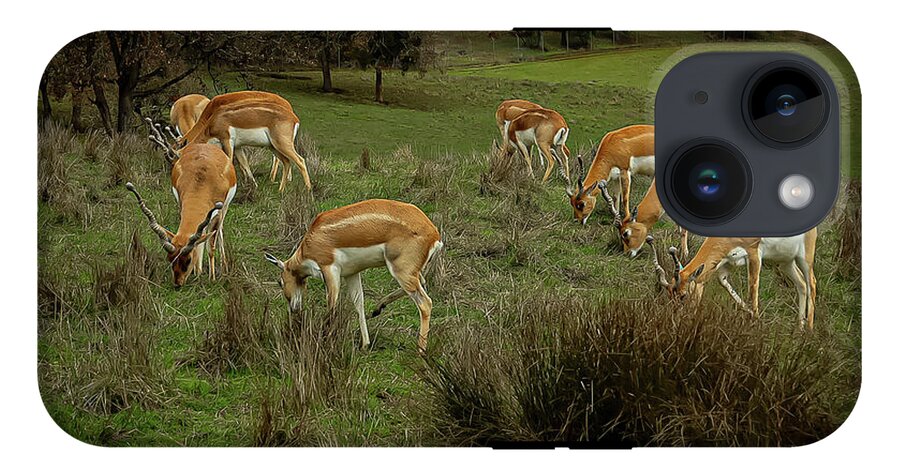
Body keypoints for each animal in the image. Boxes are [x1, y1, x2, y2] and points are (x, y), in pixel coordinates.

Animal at [125, 142, 237, 287]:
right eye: (170, 259)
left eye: (188, 260)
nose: (178, 284)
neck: (202, 181)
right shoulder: (181, 204)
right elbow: (198, 241)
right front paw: (197, 273)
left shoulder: (218, 212)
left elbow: (211, 246)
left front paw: (212, 279)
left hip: (224, 209)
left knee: (218, 232)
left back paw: (224, 266)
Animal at [150, 90, 311, 193]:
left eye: (175, 161)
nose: (174, 177)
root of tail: (294, 116)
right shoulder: (238, 146)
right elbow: (245, 164)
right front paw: (253, 185)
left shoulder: (227, 140)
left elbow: (229, 162)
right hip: (273, 145)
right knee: (286, 161)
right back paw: (281, 188)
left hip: (281, 144)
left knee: (299, 160)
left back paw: (307, 190)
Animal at [263, 199, 443, 352]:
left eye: (280, 282)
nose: (293, 309)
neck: (311, 241)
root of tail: (434, 234)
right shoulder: (352, 273)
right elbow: (358, 303)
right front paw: (365, 344)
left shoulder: (330, 269)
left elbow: (332, 306)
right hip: (410, 272)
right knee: (422, 283)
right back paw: (378, 308)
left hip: (400, 271)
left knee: (425, 303)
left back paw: (420, 350)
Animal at [645, 229, 818, 330]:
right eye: (669, 295)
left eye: (683, 295)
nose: (677, 319)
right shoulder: (726, 263)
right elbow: (725, 285)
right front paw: (751, 314)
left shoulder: (754, 255)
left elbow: (753, 287)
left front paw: (756, 321)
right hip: (785, 262)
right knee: (802, 284)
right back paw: (799, 328)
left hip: (804, 258)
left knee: (812, 283)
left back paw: (809, 331)